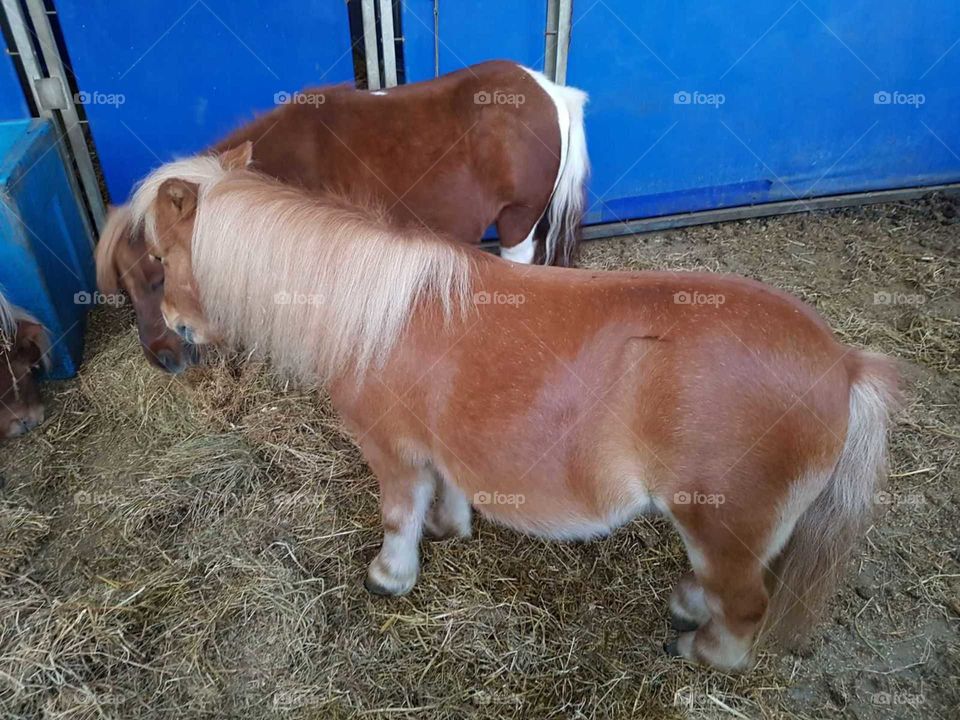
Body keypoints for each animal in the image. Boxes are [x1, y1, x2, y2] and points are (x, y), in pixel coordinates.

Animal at [131, 146, 899, 672]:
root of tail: (844, 367)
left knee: (745, 606)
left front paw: (391, 576)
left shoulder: (392, 451)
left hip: (723, 522)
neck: (373, 311)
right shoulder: (435, 446)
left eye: (162, 259)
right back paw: (688, 603)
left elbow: (398, 514)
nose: (174, 337)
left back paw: (702, 649)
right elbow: (442, 495)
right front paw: (448, 530)